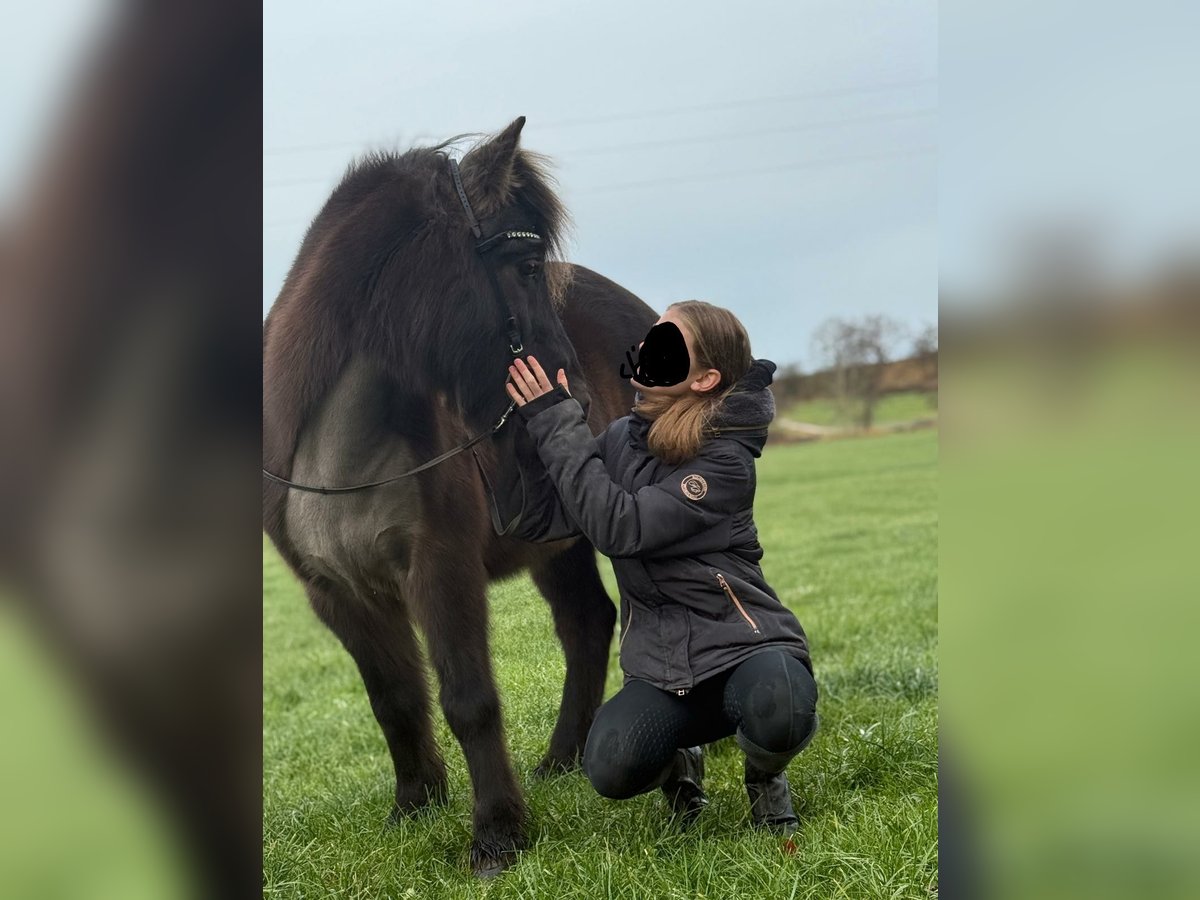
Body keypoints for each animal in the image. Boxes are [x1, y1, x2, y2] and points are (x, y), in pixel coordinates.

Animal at [262, 117, 657, 876]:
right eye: (527, 268)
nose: (576, 399)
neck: (340, 457)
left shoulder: (441, 570)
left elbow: (469, 699)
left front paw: (497, 834)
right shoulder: (337, 594)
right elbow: (395, 701)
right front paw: (415, 806)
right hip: (556, 546)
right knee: (585, 623)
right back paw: (560, 761)